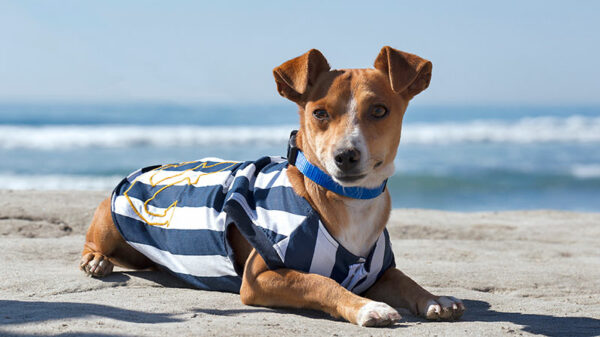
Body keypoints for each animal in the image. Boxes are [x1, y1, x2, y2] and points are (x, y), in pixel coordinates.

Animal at [81, 46, 464, 326]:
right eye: (319, 113)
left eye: (380, 110)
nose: (345, 155)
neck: (347, 202)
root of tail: (150, 168)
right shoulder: (259, 276)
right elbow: (320, 281)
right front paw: (366, 307)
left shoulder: (378, 272)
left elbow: (404, 279)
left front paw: (434, 299)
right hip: (109, 222)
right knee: (93, 244)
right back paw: (97, 262)